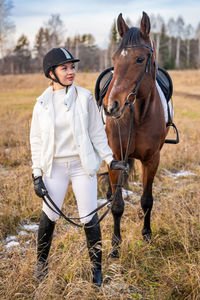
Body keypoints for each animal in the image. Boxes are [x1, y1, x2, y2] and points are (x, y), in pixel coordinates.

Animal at [104, 11, 169, 258]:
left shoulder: (152, 160)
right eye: (114, 59)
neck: (139, 115)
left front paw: (147, 235)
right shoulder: (116, 158)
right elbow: (117, 206)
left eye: (140, 59)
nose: (111, 106)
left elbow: (147, 200)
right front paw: (115, 246)